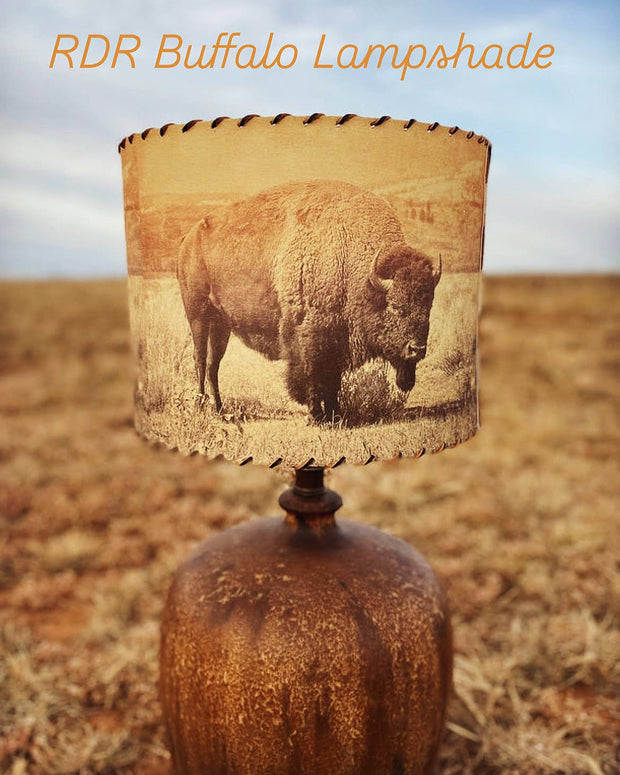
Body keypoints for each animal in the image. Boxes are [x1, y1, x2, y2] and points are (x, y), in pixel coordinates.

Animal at [177, 180, 441, 422]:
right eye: (395, 306)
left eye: (428, 306)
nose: (417, 349)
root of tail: (189, 238)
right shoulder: (311, 336)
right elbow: (313, 376)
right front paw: (317, 415)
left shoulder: (337, 340)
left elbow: (333, 381)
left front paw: (335, 414)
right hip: (197, 313)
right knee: (200, 359)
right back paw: (201, 406)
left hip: (221, 323)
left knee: (214, 364)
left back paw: (220, 410)